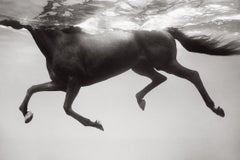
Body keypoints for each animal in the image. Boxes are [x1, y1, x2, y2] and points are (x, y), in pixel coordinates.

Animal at [0, 19, 238, 131]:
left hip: (166, 63)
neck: (59, 44)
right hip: (140, 67)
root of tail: (165, 30)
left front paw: (96, 124)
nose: (3, 20)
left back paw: (216, 108)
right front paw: (26, 113)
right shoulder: (59, 84)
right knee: (159, 79)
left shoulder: (74, 82)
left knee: (192, 75)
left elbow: (66, 108)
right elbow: (32, 88)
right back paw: (140, 100)